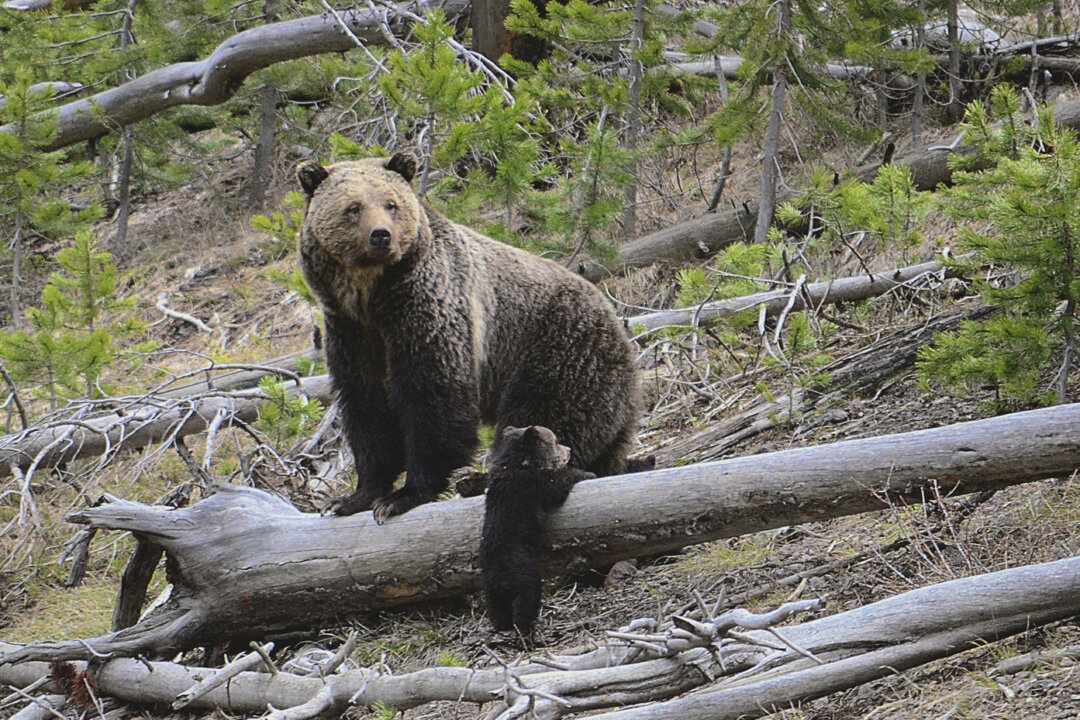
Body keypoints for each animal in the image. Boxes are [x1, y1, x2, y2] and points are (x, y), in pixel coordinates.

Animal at [296, 152, 640, 523]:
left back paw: (484, 479)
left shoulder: (429, 309)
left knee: (545, 417)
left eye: (391, 203)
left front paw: (404, 495)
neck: (371, 297)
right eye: (354, 207)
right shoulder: (351, 331)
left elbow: (434, 397)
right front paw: (354, 497)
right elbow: (367, 406)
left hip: (560, 348)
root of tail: (620, 326)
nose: (381, 235)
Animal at [480, 425, 594, 636]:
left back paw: (502, 626)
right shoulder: (533, 485)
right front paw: (586, 473)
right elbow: (557, 485)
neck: (519, 464)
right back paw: (528, 631)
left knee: (496, 609)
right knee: (527, 600)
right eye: (555, 441)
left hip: (490, 588)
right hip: (522, 573)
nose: (569, 449)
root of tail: (498, 577)